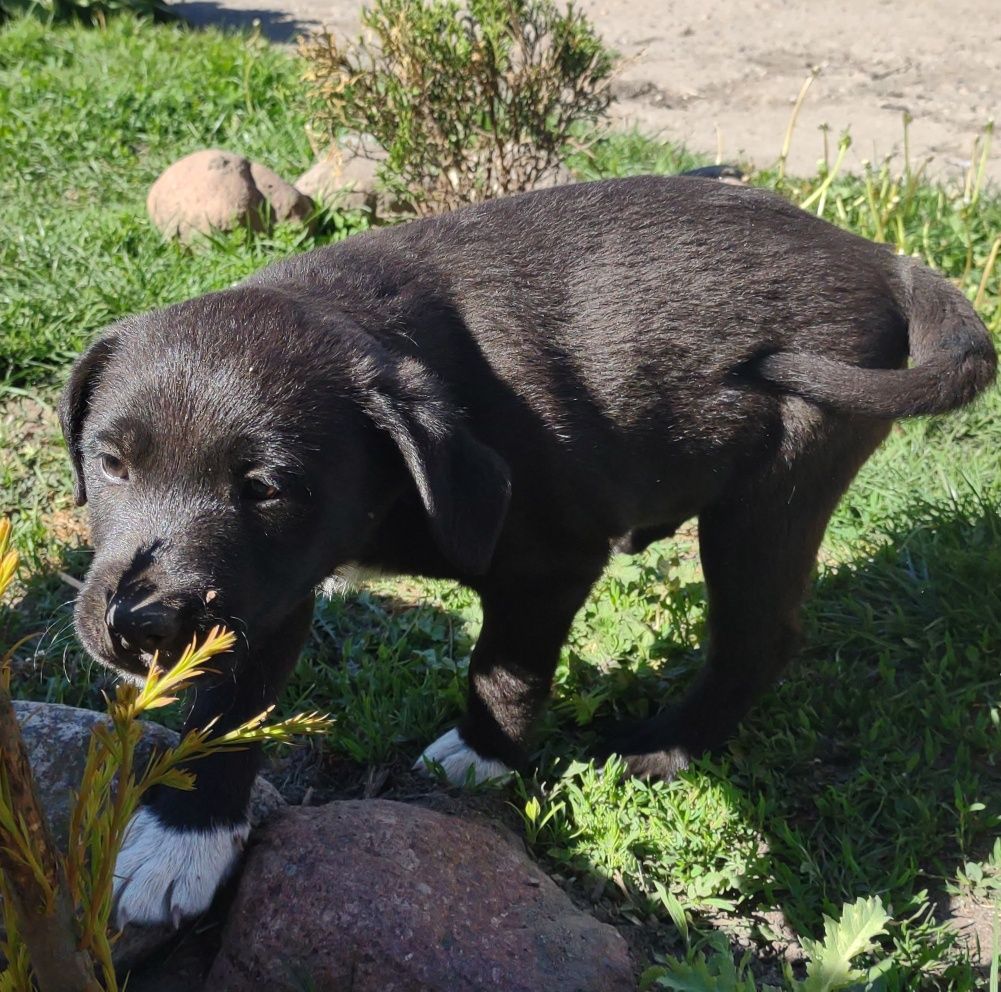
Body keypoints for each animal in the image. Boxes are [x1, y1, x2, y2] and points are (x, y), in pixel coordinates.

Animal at [60, 174, 992, 928]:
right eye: (111, 463)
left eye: (266, 488)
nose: (137, 623)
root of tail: (881, 257)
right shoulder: (266, 590)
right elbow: (227, 710)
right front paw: (183, 840)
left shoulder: (548, 561)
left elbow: (503, 667)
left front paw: (485, 754)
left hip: (777, 484)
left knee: (758, 638)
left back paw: (663, 748)